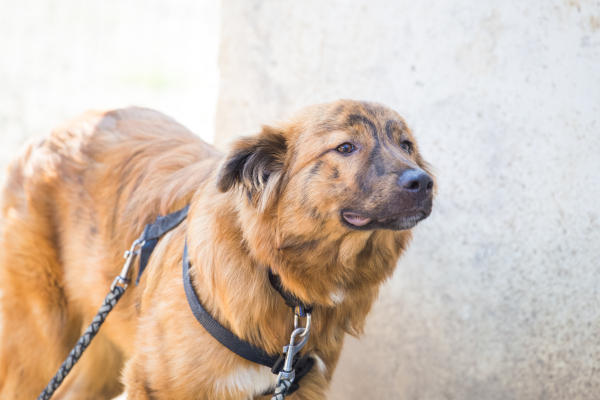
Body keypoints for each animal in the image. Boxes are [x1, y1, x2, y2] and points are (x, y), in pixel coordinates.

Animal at [0, 101, 434, 400]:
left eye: (407, 145)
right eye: (345, 147)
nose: (423, 182)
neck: (276, 274)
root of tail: (47, 135)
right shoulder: (152, 384)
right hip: (39, 348)